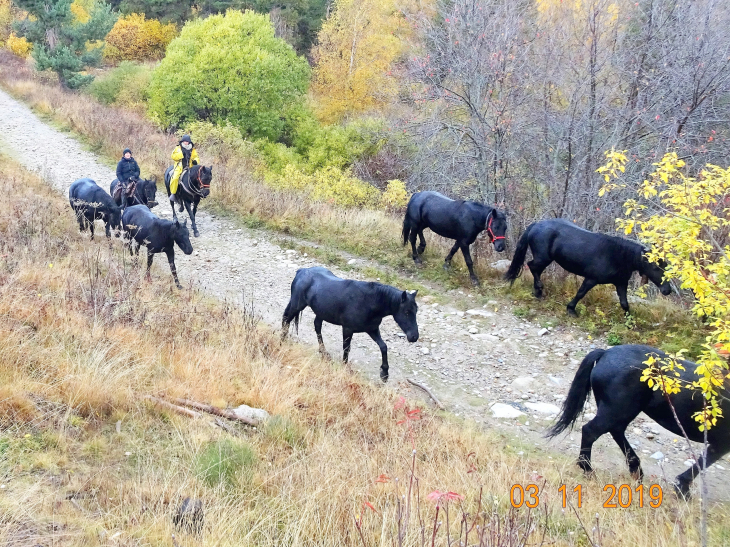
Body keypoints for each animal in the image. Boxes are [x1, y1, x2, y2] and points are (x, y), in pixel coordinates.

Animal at [282, 268, 420, 384]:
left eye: (416, 310)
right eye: (407, 312)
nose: (414, 337)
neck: (369, 302)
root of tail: (301, 271)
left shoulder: (372, 329)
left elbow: (383, 347)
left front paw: (384, 373)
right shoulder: (348, 329)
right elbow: (346, 349)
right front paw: (345, 368)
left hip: (320, 312)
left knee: (316, 326)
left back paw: (323, 351)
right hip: (297, 305)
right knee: (286, 319)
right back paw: (282, 341)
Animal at [504, 217, 668, 314]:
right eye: (655, 267)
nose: (667, 290)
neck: (618, 255)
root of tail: (536, 225)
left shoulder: (621, 283)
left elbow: (624, 303)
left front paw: (630, 322)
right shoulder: (591, 279)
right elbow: (580, 293)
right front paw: (571, 309)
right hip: (543, 258)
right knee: (532, 267)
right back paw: (538, 291)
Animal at [544, 344, 728, 498]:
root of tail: (606, 353)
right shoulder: (721, 442)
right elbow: (704, 462)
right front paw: (682, 490)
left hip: (620, 411)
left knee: (616, 431)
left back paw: (635, 471)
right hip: (617, 410)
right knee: (591, 431)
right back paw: (589, 470)